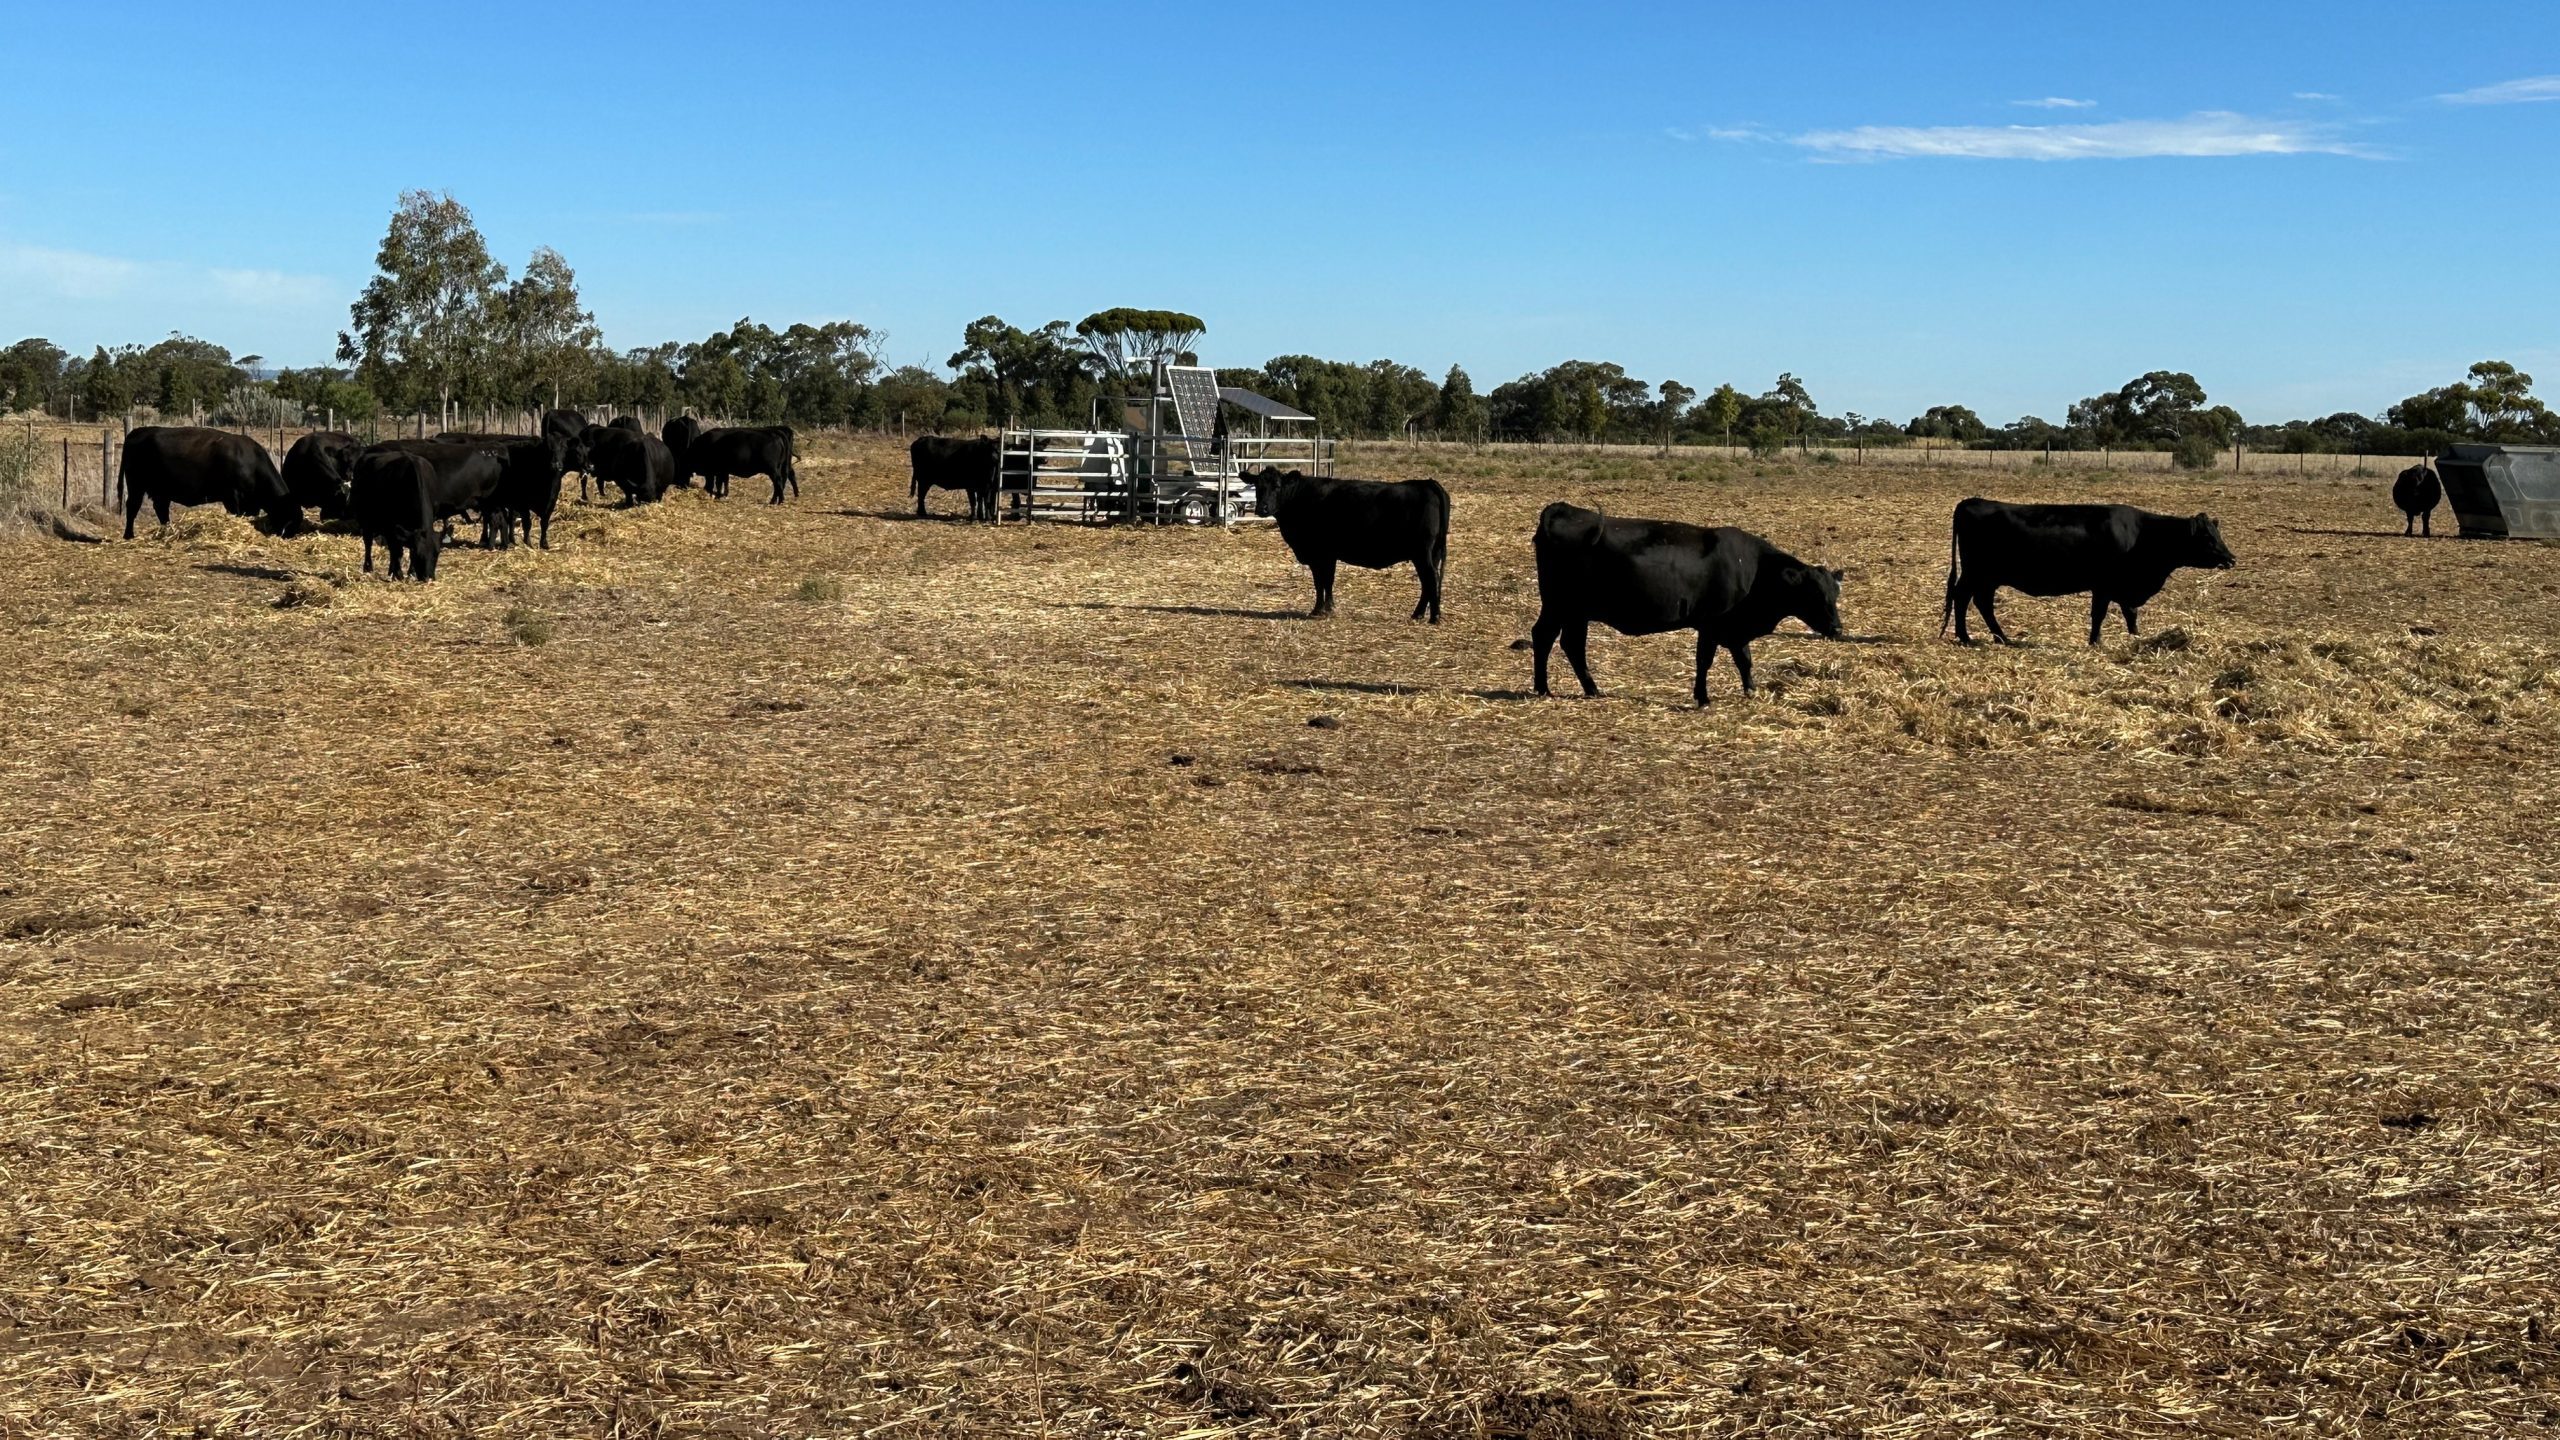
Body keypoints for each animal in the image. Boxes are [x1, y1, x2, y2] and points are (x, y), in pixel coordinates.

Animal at [120, 427, 295, 540]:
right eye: (289, 514)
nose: (290, 535)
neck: (251, 463)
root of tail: (137, 432)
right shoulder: (232, 497)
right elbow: (237, 514)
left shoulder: (250, 503)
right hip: (136, 486)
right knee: (133, 507)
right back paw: (129, 535)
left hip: (161, 491)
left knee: (161, 509)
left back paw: (169, 530)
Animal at [348, 450, 442, 579]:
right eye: (418, 554)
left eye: (436, 553)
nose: (428, 577)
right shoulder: (390, 525)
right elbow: (397, 550)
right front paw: (398, 574)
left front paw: (411, 572)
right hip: (365, 519)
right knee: (368, 543)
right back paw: (368, 568)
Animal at [1244, 461, 1454, 614]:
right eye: (1256, 486)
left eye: (1277, 486)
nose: (1262, 508)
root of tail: (1427, 483)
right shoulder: (1328, 555)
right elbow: (1326, 581)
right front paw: (1328, 608)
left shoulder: (1320, 554)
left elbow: (1321, 581)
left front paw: (1319, 610)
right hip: (1432, 552)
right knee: (1429, 581)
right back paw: (1418, 614)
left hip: (1422, 552)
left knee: (1430, 578)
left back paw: (1433, 617)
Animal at [1515, 504, 1843, 707]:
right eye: (1815, 594)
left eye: (1835, 593)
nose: (1838, 629)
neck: (1753, 569)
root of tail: (1565, 509)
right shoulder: (1710, 625)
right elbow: (1704, 661)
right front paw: (1703, 698)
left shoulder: (1734, 629)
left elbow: (1744, 660)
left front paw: (1751, 690)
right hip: (1561, 606)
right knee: (1547, 638)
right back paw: (1547, 688)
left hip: (1574, 612)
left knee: (1566, 643)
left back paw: (1584, 689)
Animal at [1945, 499, 2232, 645]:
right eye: (2208, 538)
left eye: (2218, 535)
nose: (2231, 559)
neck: (2141, 535)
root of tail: (1971, 502)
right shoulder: (2103, 586)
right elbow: (2099, 615)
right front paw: (2096, 642)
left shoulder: (2123, 587)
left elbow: (2131, 613)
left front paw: (2135, 637)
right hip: (1976, 573)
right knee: (1963, 598)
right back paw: (1967, 637)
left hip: (1988, 577)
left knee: (1981, 603)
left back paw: (2000, 637)